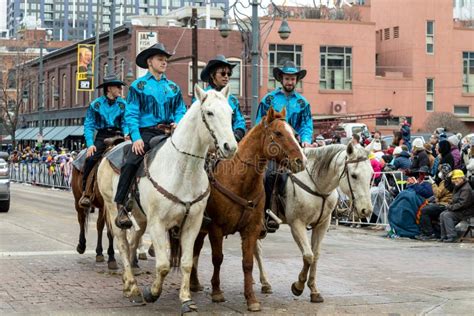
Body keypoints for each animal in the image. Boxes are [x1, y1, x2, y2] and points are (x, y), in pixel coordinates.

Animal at [96, 84, 237, 314]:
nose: (230, 147)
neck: (182, 170)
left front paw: (186, 300)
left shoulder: (192, 224)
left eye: (231, 113)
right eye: (209, 112)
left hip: (141, 218)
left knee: (133, 241)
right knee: (123, 245)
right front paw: (151, 293)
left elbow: (187, 263)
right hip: (113, 208)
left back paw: (128, 284)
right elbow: (163, 265)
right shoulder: (158, 224)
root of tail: (111, 150)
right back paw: (133, 287)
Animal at [187, 108, 306, 312]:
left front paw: (251, 299)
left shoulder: (250, 230)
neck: (239, 181)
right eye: (278, 133)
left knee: (196, 247)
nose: (301, 161)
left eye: (295, 134)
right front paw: (217, 292)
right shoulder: (216, 229)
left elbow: (248, 263)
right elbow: (217, 258)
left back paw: (194, 282)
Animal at [256, 143, 374, 302]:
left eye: (371, 174)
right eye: (354, 175)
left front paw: (313, 290)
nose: (366, 210)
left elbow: (315, 255)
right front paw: (298, 286)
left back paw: (265, 283)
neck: (316, 185)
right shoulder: (297, 224)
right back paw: (264, 282)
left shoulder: (322, 225)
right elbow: (308, 255)